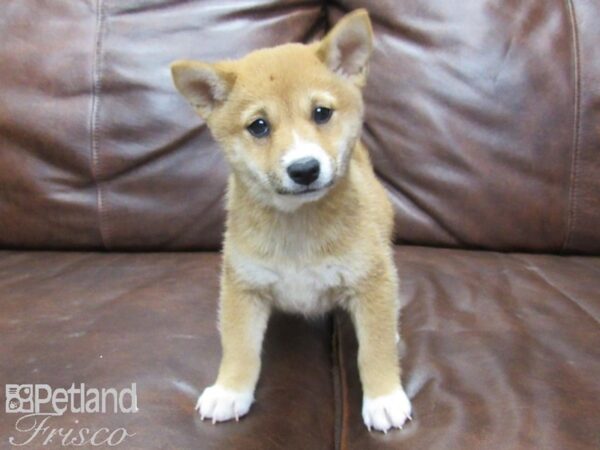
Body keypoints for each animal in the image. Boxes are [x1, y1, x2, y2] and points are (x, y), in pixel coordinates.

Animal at [171, 9, 410, 432]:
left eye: (321, 113)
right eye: (259, 126)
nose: (304, 169)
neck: (298, 229)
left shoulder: (371, 280)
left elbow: (374, 348)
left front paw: (383, 396)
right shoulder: (242, 285)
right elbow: (239, 346)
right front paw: (229, 390)